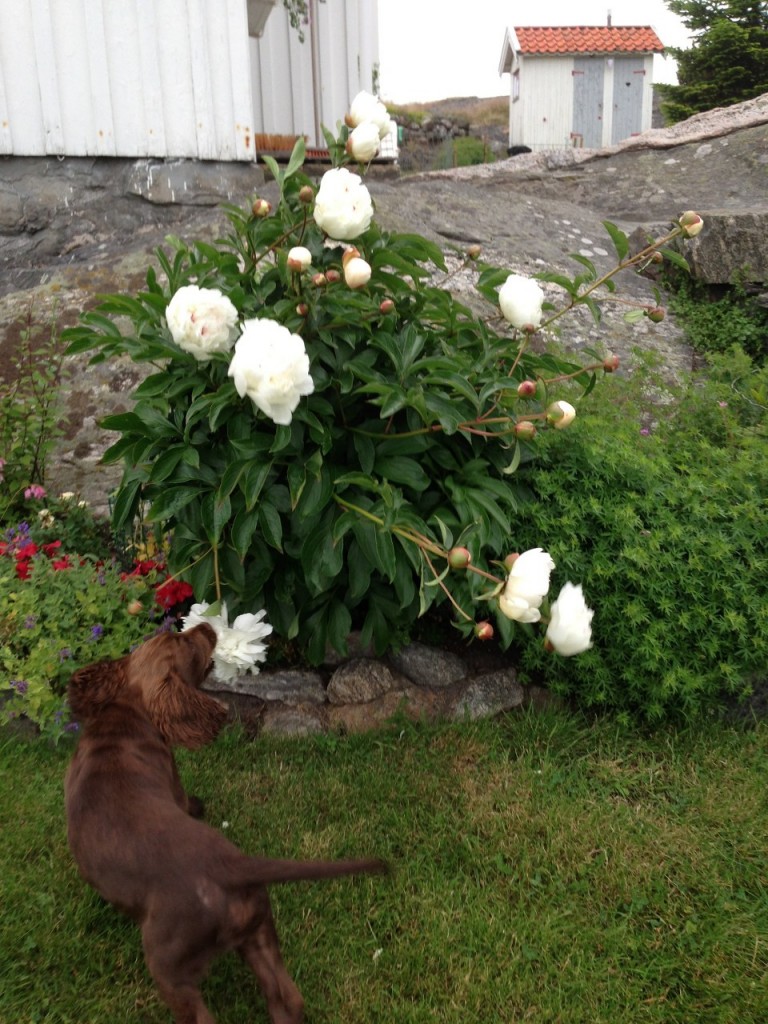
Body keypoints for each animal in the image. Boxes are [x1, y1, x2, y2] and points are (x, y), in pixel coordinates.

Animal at [67, 622, 387, 1024]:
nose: (205, 625)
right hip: (258, 929)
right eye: (184, 642)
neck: (123, 718)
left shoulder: (175, 785)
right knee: (286, 999)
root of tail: (229, 867)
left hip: (170, 967)